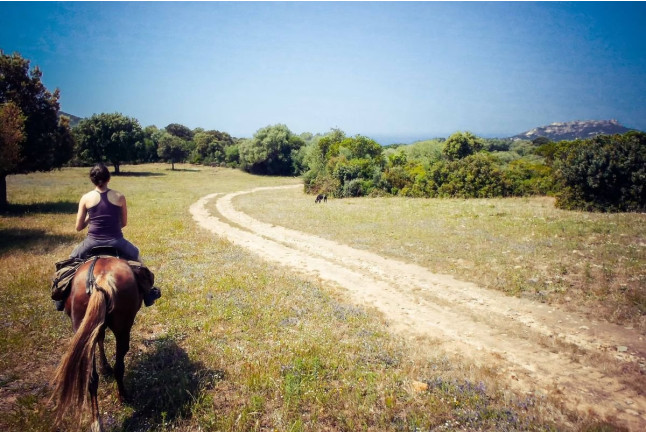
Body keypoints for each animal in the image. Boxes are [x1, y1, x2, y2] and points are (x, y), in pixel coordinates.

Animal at [51, 255, 142, 431]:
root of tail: (101, 279)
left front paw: (104, 366)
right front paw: (104, 366)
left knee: (99, 374)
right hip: (121, 329)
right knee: (107, 371)